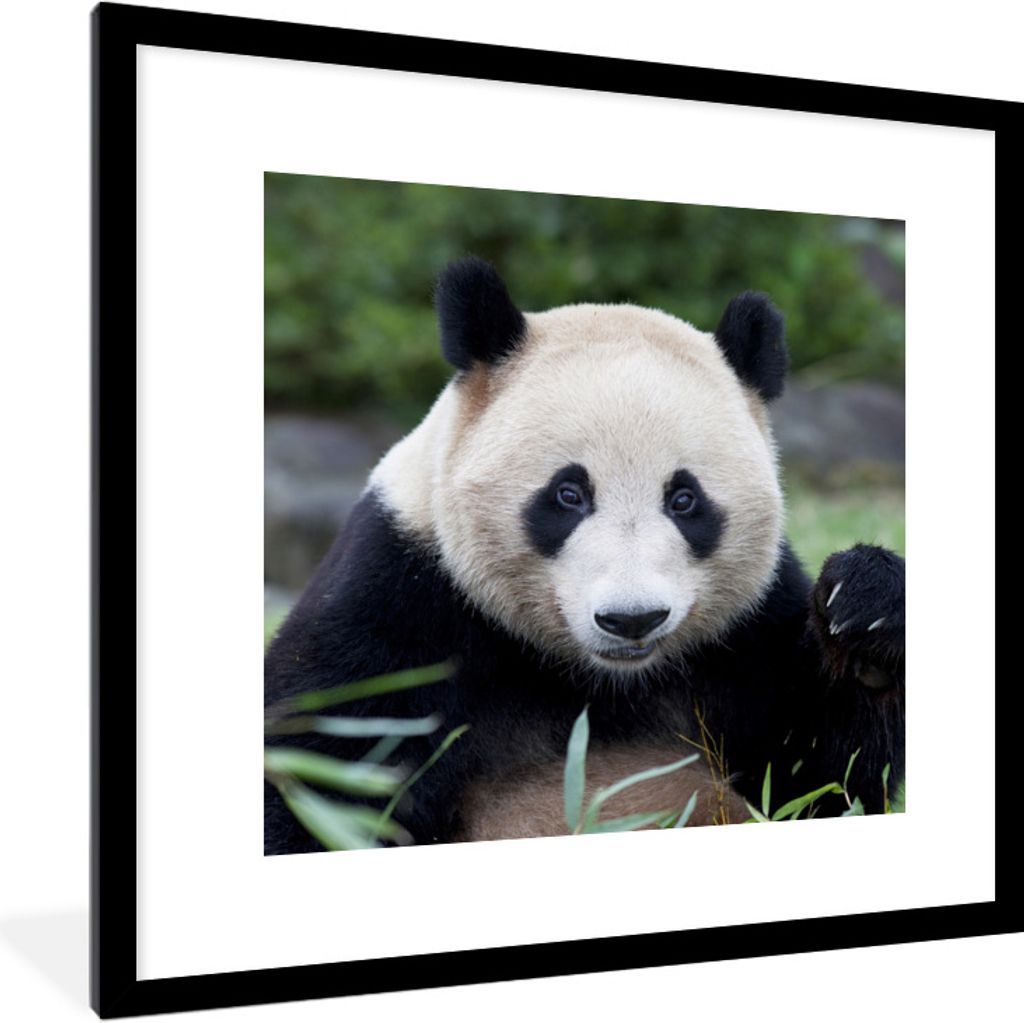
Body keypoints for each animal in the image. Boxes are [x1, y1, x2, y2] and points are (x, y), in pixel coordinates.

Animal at [264, 257, 905, 853]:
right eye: (568, 494)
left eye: (685, 499)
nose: (632, 619)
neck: (601, 681)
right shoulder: (400, 603)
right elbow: (321, 767)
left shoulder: (748, 633)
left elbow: (821, 775)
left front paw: (864, 615)